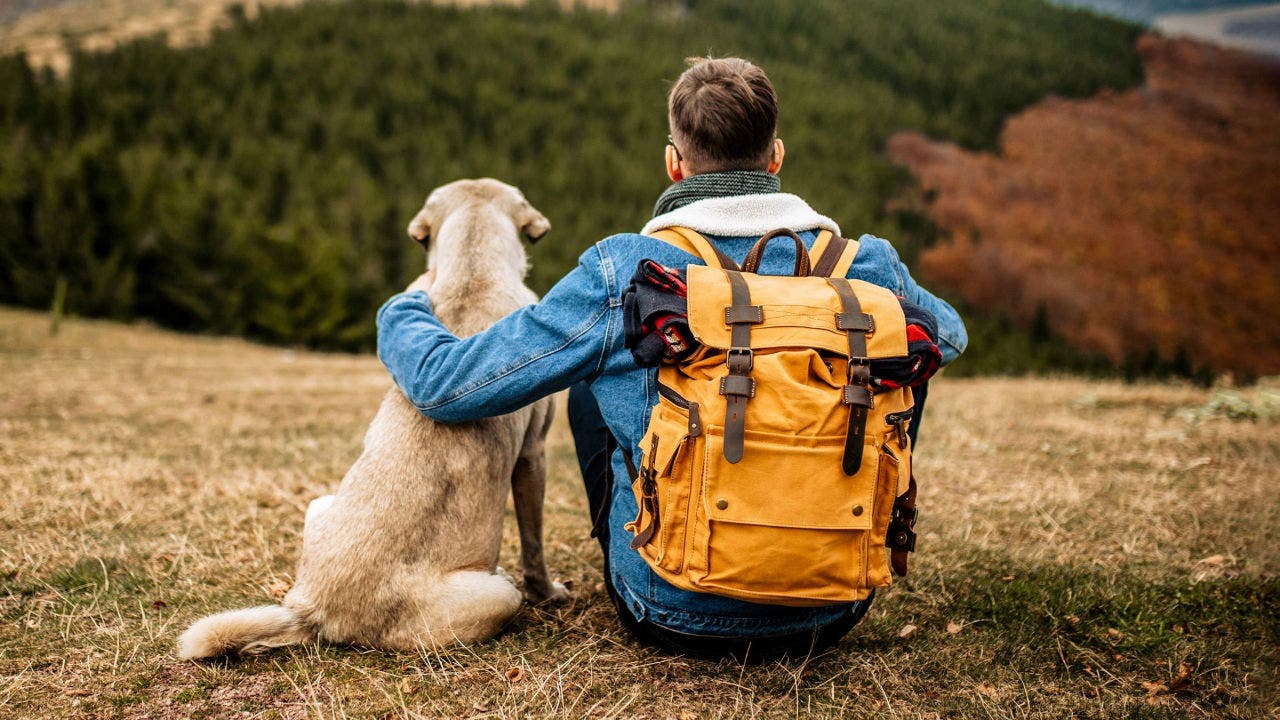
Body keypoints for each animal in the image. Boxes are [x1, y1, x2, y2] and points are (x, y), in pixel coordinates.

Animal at [177, 178, 568, 655]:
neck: (471, 271)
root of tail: (313, 611)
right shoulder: (533, 453)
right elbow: (534, 543)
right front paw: (548, 593)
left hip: (320, 503)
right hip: (497, 595)